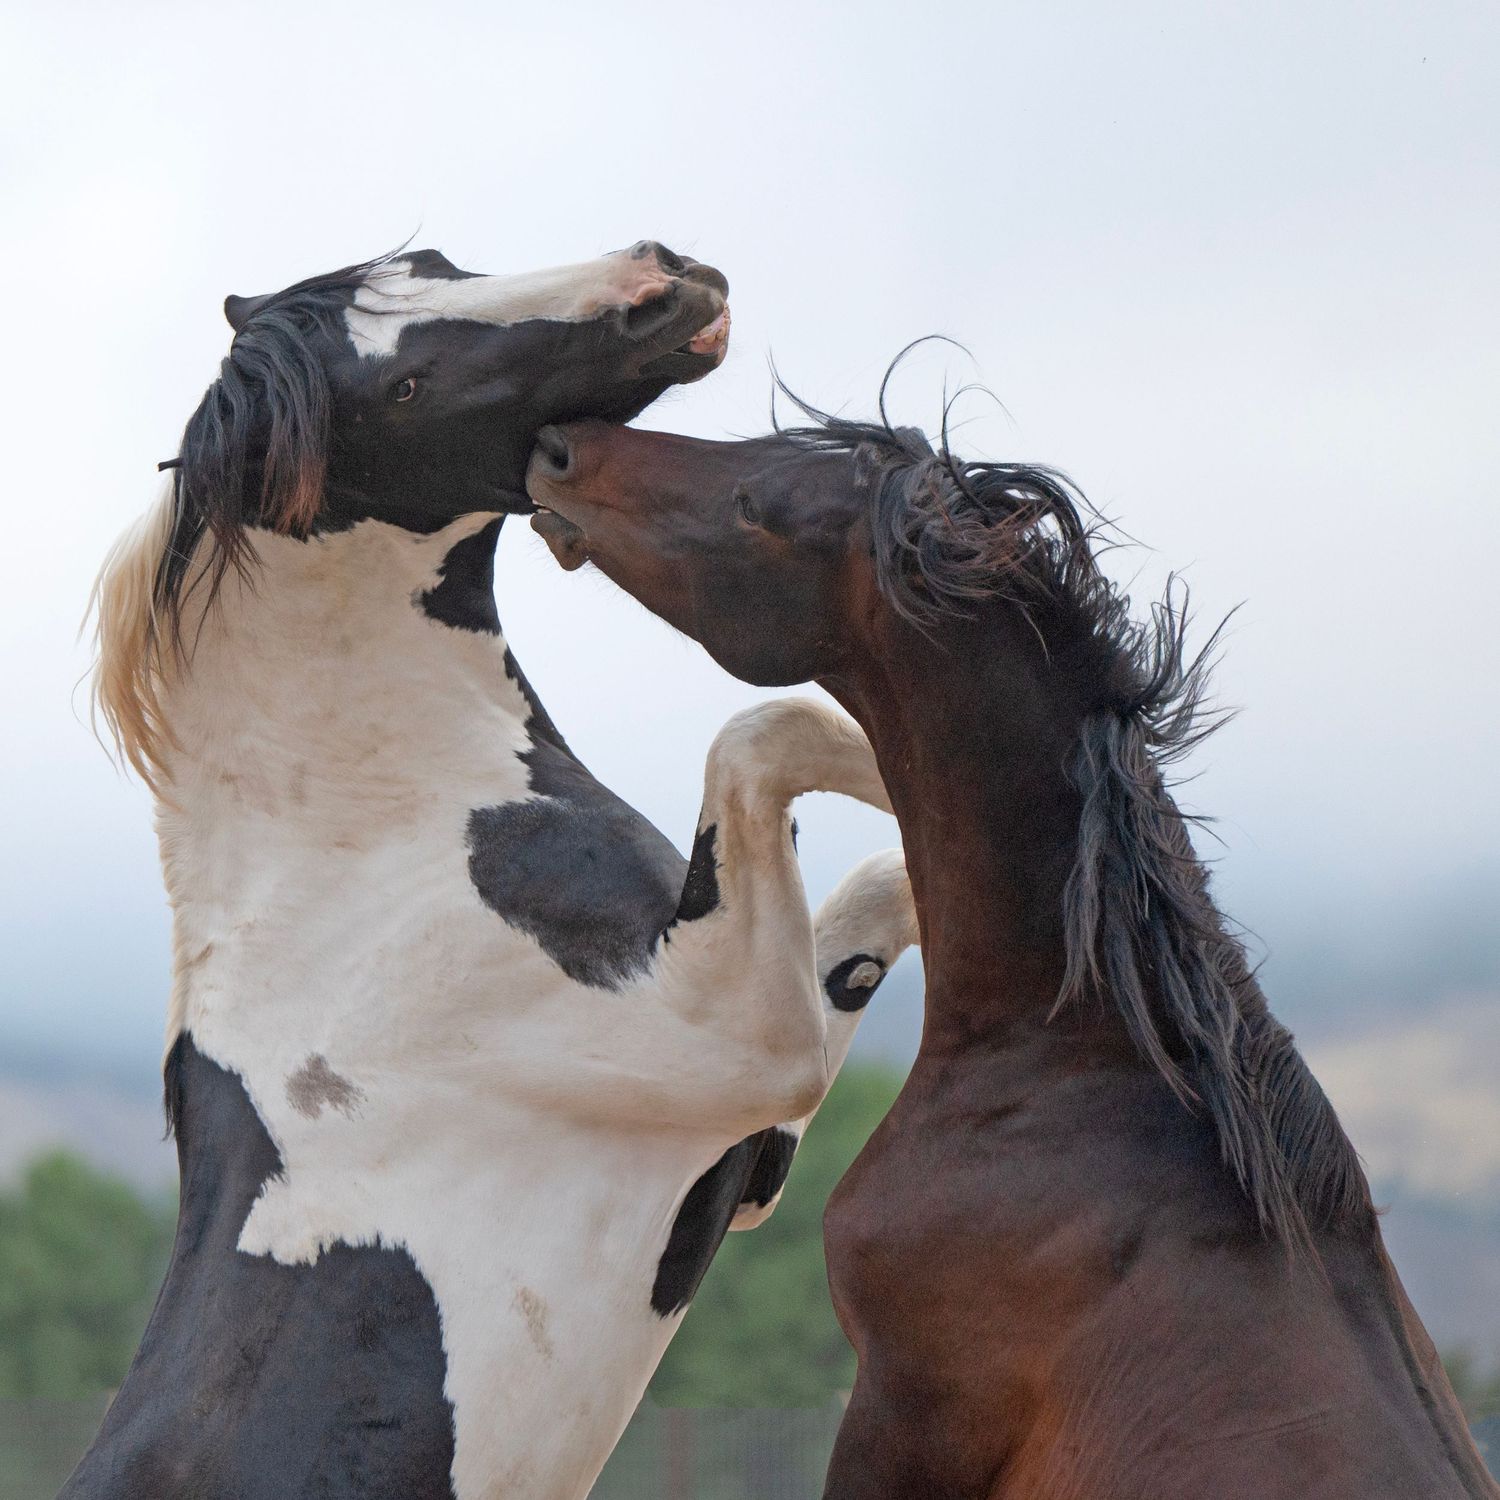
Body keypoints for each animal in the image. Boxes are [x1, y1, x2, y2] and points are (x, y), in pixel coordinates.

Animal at [71, 246, 917, 1500]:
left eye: (429, 263)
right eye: (406, 387)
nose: (663, 283)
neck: (373, 858)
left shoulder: (756, 1141)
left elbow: (879, 875)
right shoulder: (746, 1043)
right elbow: (774, 730)